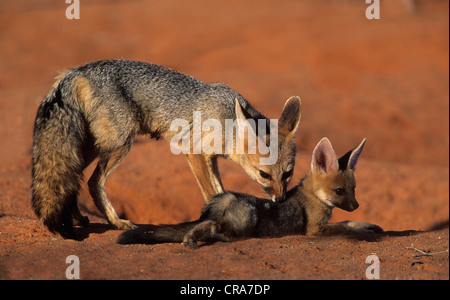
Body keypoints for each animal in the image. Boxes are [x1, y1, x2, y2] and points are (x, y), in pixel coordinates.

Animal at [118, 137, 382, 247]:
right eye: (339, 191)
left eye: (354, 189)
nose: (357, 205)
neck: (313, 198)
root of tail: (225, 197)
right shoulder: (314, 229)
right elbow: (344, 228)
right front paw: (364, 232)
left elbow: (348, 222)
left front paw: (368, 225)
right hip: (246, 221)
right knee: (211, 226)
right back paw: (202, 238)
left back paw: (192, 238)